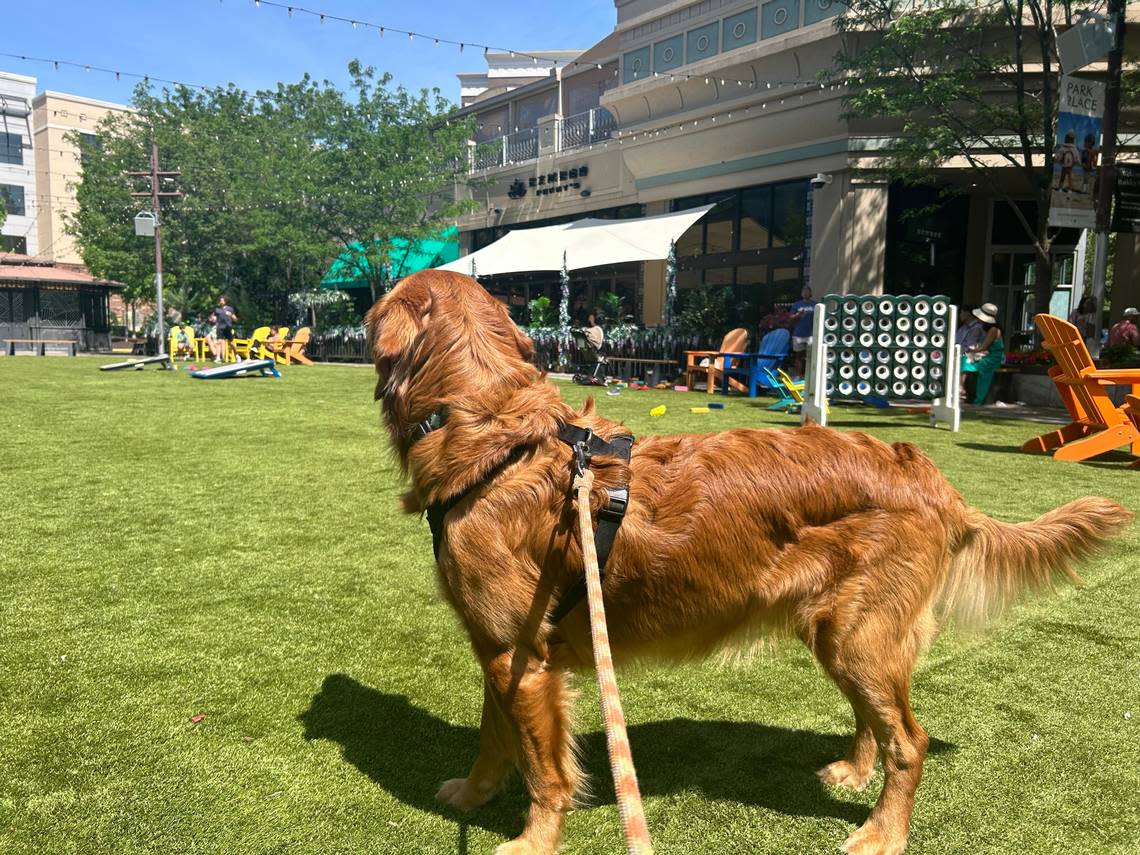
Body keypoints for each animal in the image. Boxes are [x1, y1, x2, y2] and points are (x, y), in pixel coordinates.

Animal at [367, 269, 1130, 855]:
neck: (493, 438)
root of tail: (927, 474)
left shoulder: (523, 657)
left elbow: (543, 768)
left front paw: (533, 838)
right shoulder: (497, 647)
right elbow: (495, 738)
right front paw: (472, 792)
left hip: (857, 634)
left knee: (909, 740)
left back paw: (883, 832)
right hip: (842, 634)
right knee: (877, 722)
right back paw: (856, 772)